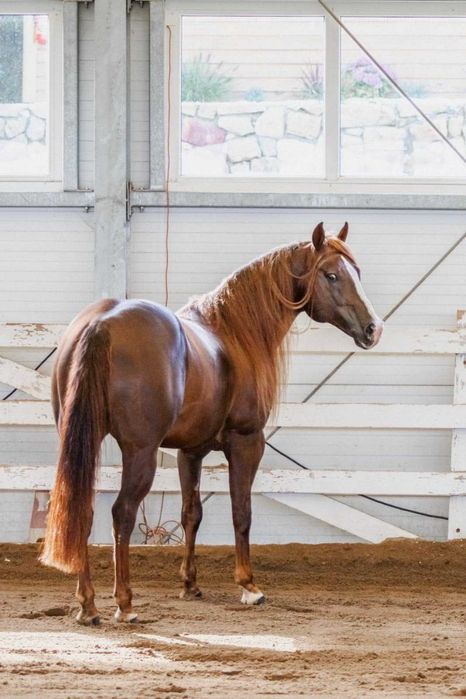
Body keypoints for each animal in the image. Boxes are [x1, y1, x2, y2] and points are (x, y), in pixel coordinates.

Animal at [40, 221, 383, 625]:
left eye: (356, 273)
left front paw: (190, 584)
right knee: (121, 513)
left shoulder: (191, 451)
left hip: (86, 442)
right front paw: (249, 586)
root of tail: (102, 322)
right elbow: (241, 512)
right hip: (140, 452)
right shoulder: (247, 441)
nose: (373, 329)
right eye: (331, 275)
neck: (233, 334)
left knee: (81, 510)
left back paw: (88, 606)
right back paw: (124, 604)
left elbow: (192, 514)